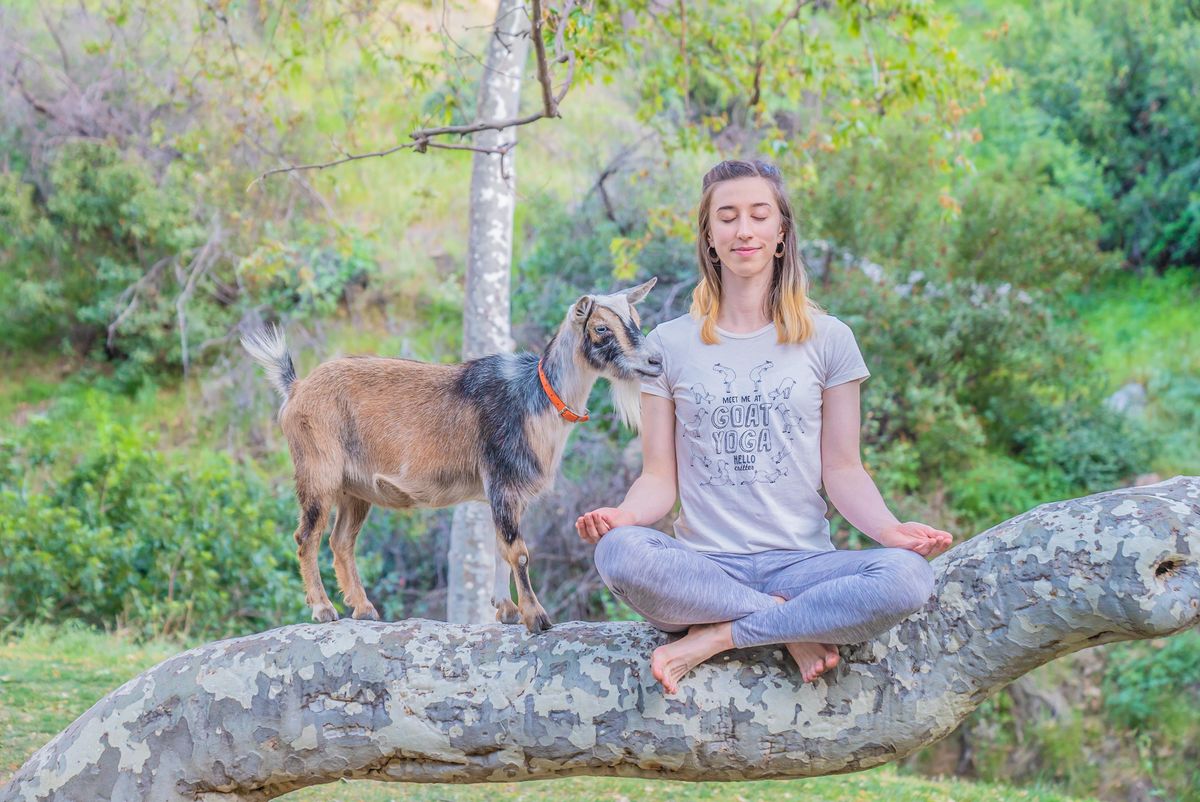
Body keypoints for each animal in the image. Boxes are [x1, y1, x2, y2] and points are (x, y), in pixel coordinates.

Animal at [240, 276, 662, 633]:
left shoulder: (504, 494)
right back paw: (323, 608)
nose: (655, 361)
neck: (536, 398)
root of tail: (295, 389)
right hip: (319, 471)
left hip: (354, 489)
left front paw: (507, 611)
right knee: (306, 536)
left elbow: (499, 549)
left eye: (636, 319)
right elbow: (518, 552)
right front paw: (536, 617)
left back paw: (364, 609)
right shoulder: (503, 481)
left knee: (341, 541)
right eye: (601, 327)